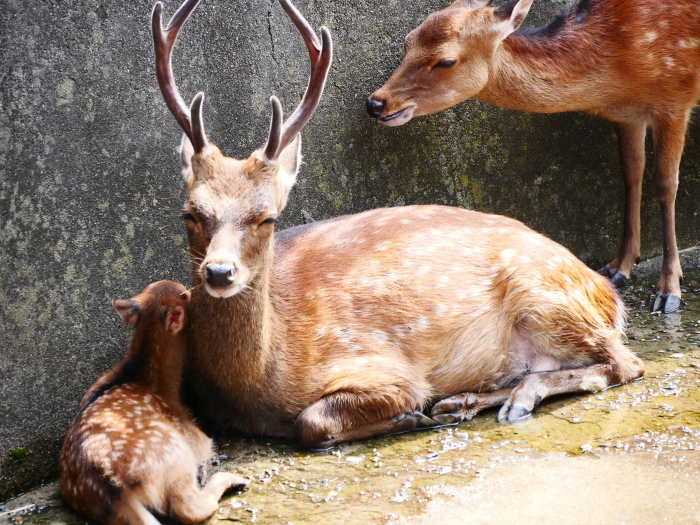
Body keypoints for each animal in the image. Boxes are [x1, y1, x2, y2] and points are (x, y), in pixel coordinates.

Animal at [59, 280, 249, 524]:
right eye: (186, 295)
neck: (159, 384)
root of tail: (112, 487)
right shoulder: (192, 435)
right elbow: (207, 444)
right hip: (174, 454)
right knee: (187, 507)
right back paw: (232, 479)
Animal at [150, 0, 644, 450]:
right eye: (189, 212)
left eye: (267, 217)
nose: (219, 272)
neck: (260, 380)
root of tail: (607, 292)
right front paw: (427, 414)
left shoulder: (381, 367)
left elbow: (313, 423)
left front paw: (411, 416)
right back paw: (461, 402)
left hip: (545, 295)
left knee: (625, 363)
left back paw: (507, 400)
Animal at [366, 0, 700, 312]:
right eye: (408, 40)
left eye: (446, 61)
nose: (376, 103)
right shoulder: (628, 115)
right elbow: (631, 174)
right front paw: (618, 268)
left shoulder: (675, 99)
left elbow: (665, 185)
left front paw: (669, 290)